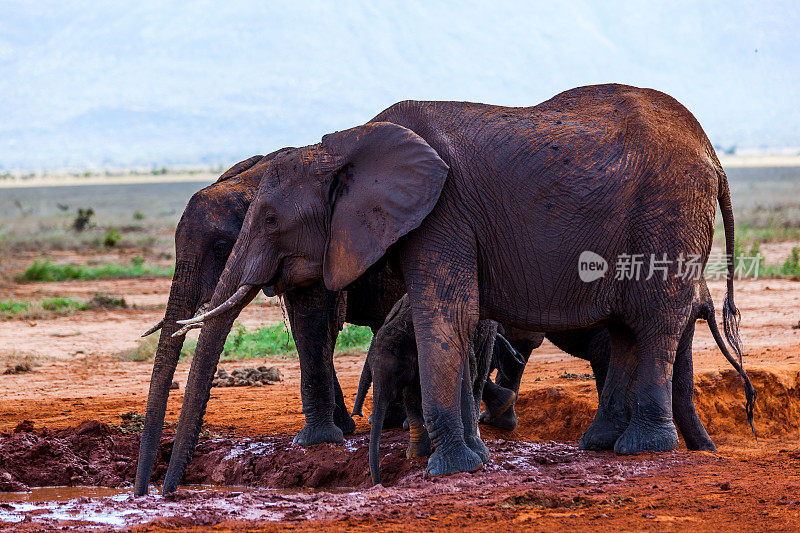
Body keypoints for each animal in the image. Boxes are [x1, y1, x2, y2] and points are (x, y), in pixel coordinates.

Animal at [354, 294, 494, 484]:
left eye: (399, 371)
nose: (378, 483)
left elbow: (469, 372)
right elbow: (411, 394)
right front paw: (414, 455)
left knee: (480, 376)